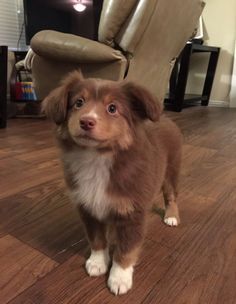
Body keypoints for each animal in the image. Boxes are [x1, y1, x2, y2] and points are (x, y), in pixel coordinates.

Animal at [42, 70, 183, 294]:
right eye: (78, 103)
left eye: (112, 108)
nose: (86, 121)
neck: (97, 158)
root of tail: (168, 118)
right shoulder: (87, 206)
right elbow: (97, 239)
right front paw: (97, 262)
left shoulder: (133, 214)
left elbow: (126, 249)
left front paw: (119, 278)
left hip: (171, 171)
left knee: (171, 196)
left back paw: (171, 216)